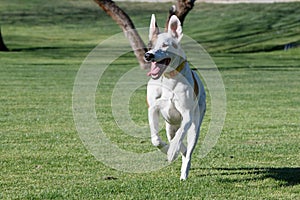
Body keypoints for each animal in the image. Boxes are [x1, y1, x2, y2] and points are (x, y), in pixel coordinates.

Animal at [144, 14, 205, 180]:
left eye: (165, 45)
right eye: (150, 45)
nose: (148, 55)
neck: (168, 78)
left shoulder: (187, 115)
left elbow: (181, 133)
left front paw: (172, 152)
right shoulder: (152, 108)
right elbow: (155, 139)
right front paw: (168, 149)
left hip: (196, 125)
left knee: (188, 148)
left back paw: (184, 171)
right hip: (169, 126)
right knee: (175, 139)